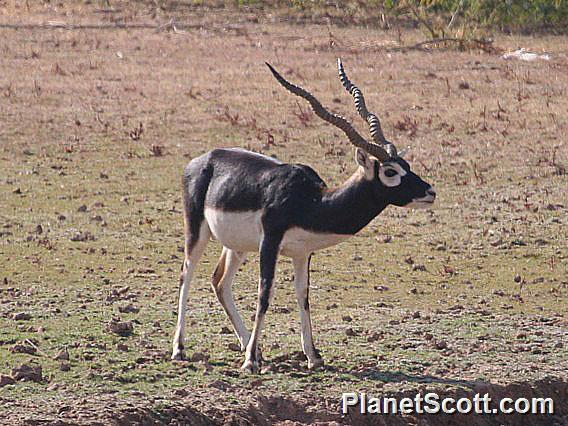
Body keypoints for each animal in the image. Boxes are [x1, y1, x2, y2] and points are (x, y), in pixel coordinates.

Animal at [171, 60, 438, 372]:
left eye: (406, 164)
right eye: (390, 172)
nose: (430, 191)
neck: (311, 201)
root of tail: (202, 159)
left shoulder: (302, 253)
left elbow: (304, 296)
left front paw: (313, 356)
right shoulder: (270, 243)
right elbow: (265, 294)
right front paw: (250, 362)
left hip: (236, 245)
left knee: (219, 282)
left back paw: (251, 346)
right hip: (197, 230)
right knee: (186, 274)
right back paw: (180, 349)